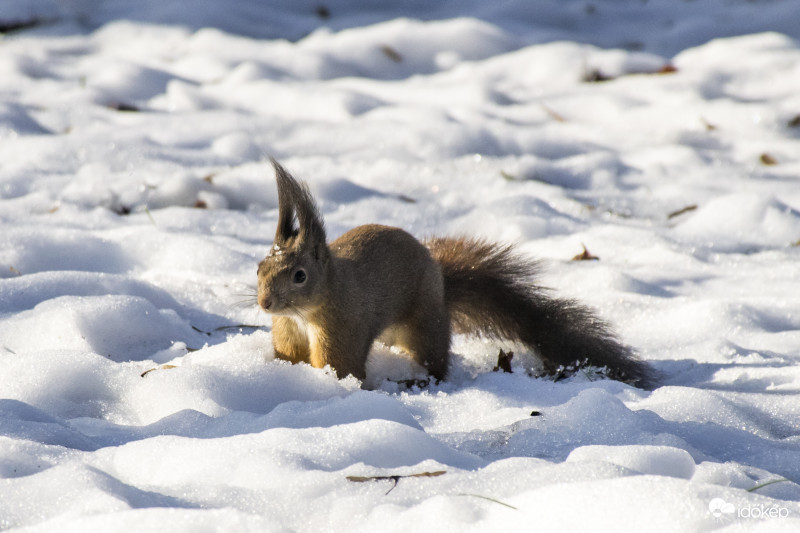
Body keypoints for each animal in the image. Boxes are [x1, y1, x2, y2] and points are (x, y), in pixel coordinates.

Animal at [256, 158, 656, 386]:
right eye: (259, 268)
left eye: (300, 275)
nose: (265, 304)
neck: (304, 312)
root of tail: (442, 284)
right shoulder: (289, 333)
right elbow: (290, 356)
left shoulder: (343, 328)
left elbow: (341, 367)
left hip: (425, 325)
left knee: (436, 360)